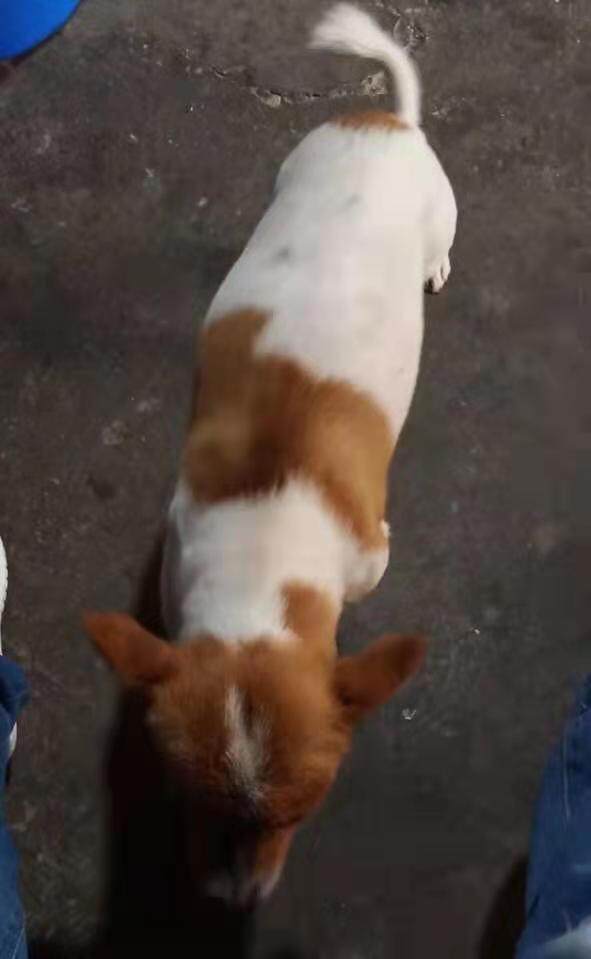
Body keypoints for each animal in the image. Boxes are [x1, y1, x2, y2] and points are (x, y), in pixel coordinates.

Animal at [85, 3, 456, 907]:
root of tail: (384, 120)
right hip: (292, 176)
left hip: (441, 212)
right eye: (184, 798)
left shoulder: (369, 558)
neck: (263, 546)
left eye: (299, 814)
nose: (231, 898)